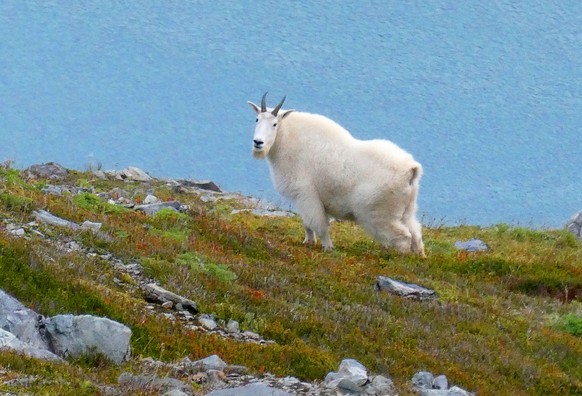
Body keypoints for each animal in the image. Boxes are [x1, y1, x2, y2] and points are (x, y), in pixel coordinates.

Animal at [249, 94, 426, 258]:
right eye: (257, 119)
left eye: (274, 124)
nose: (258, 142)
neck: (287, 140)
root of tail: (411, 170)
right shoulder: (302, 198)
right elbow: (307, 223)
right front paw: (308, 242)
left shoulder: (307, 194)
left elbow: (319, 225)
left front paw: (328, 247)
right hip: (407, 209)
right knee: (415, 233)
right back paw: (420, 257)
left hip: (381, 213)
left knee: (403, 237)